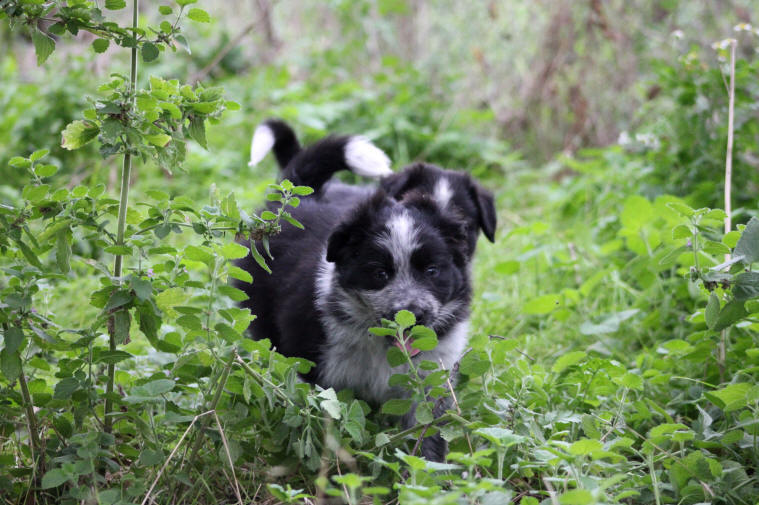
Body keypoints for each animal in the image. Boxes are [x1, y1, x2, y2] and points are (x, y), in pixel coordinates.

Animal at [239, 119, 498, 460]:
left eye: (432, 271)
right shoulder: (314, 366)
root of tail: (301, 195)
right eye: (379, 274)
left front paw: (429, 472)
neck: (381, 344)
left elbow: (426, 433)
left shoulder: (432, 377)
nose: (412, 315)